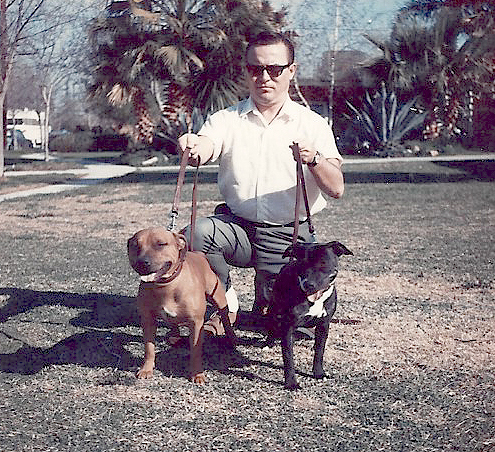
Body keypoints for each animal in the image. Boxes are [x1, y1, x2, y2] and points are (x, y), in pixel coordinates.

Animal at [128, 228, 236, 384]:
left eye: (161, 244)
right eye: (135, 245)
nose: (142, 262)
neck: (166, 285)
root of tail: (198, 254)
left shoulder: (196, 323)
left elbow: (196, 350)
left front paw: (197, 374)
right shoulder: (148, 320)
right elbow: (149, 348)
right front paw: (146, 369)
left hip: (218, 296)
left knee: (225, 318)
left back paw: (232, 338)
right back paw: (174, 335)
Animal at [268, 242, 352, 390]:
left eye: (323, 263)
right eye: (301, 263)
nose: (308, 284)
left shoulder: (324, 325)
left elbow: (319, 350)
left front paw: (318, 373)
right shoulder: (288, 326)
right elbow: (288, 357)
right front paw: (291, 383)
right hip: (274, 309)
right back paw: (269, 341)